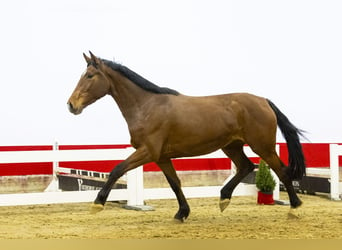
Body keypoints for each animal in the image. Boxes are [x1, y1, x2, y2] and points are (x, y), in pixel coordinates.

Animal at [67, 51, 308, 222]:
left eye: (90, 75)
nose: (71, 105)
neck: (146, 106)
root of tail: (263, 100)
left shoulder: (147, 152)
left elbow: (116, 170)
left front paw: (97, 204)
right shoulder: (161, 157)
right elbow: (175, 183)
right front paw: (182, 213)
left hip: (263, 146)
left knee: (281, 170)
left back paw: (295, 209)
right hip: (232, 146)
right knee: (246, 166)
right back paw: (224, 198)